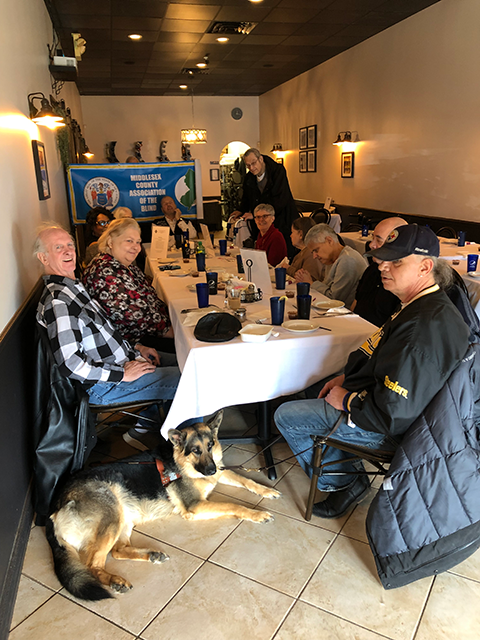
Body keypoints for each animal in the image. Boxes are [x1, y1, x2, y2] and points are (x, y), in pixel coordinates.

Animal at [46, 412, 282, 604]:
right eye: (195, 450)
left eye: (210, 445)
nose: (211, 470)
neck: (182, 464)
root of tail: (56, 505)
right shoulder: (196, 506)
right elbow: (232, 504)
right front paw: (257, 513)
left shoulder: (221, 473)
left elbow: (245, 479)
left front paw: (266, 490)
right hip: (112, 516)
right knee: (93, 564)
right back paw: (114, 580)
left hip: (123, 519)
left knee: (118, 551)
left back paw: (151, 555)